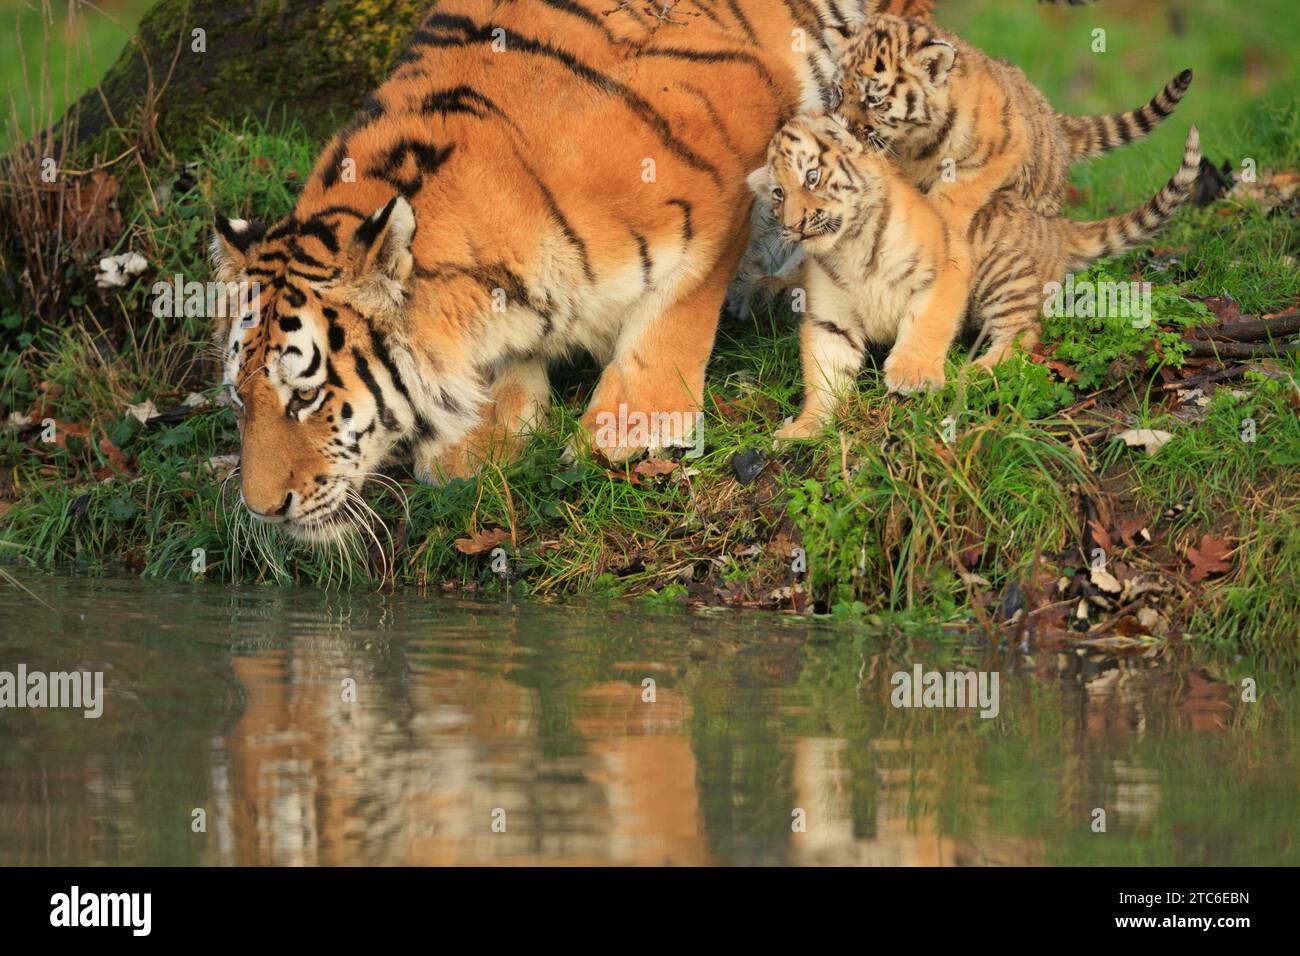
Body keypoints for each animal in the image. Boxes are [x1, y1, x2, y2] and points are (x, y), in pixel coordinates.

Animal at [208, 0, 1066, 538]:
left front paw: (625, 429)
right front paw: (482, 440)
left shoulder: (733, 138)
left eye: (308, 395)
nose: (260, 511)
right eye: (240, 399)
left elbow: (676, 308)